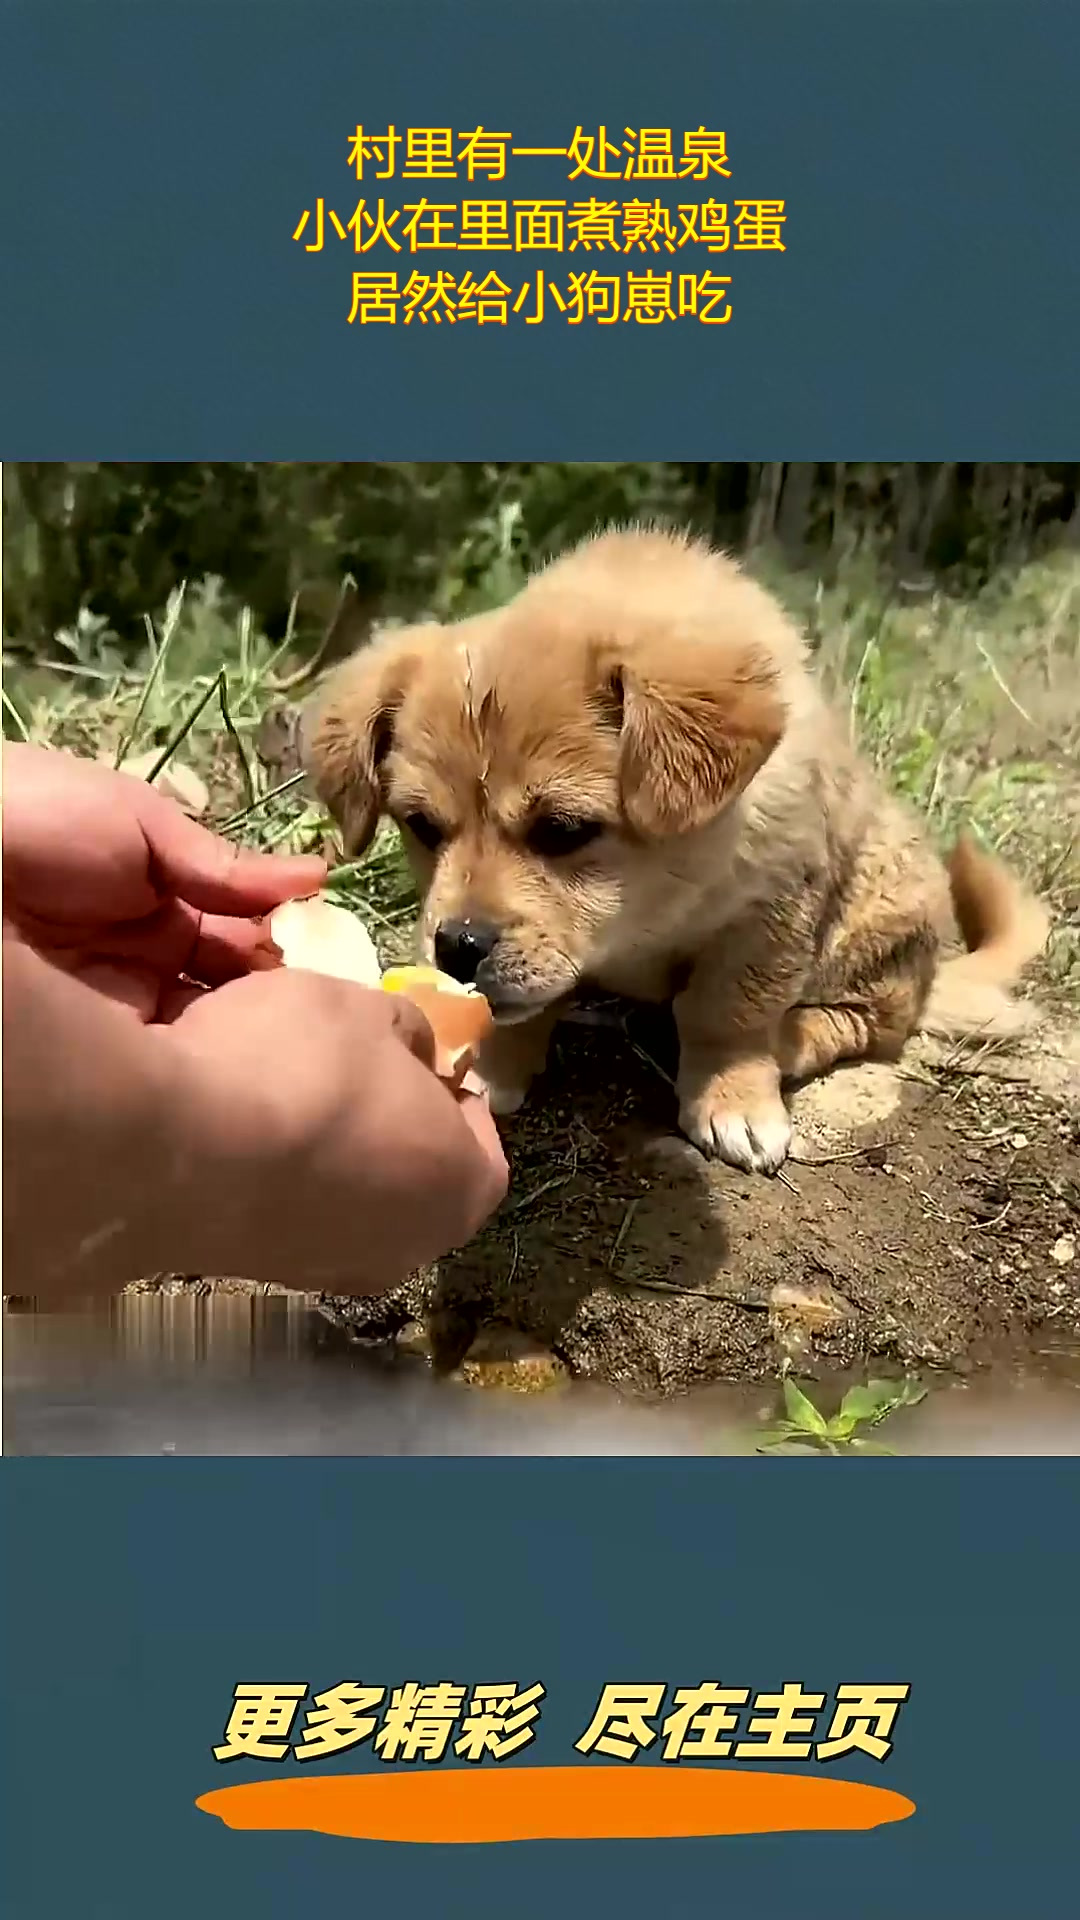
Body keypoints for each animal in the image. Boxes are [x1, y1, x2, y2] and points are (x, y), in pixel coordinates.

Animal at [299, 533, 1045, 1175]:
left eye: (563, 830)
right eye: (421, 826)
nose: (456, 946)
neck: (655, 903)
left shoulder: (769, 909)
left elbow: (728, 1012)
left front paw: (733, 1098)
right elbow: (525, 1004)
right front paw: (493, 1062)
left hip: (880, 910)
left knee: (870, 1022)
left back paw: (790, 1039)